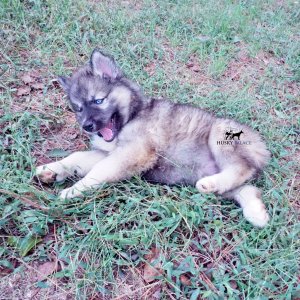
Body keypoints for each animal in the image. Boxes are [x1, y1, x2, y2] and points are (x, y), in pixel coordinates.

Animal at [36, 49, 270, 227]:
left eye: (98, 100)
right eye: (78, 108)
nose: (86, 126)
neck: (131, 116)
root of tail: (262, 147)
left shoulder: (134, 151)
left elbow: (98, 171)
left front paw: (73, 190)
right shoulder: (110, 152)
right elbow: (77, 157)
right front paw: (51, 169)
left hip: (220, 134)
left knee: (242, 168)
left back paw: (211, 184)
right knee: (248, 188)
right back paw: (255, 212)